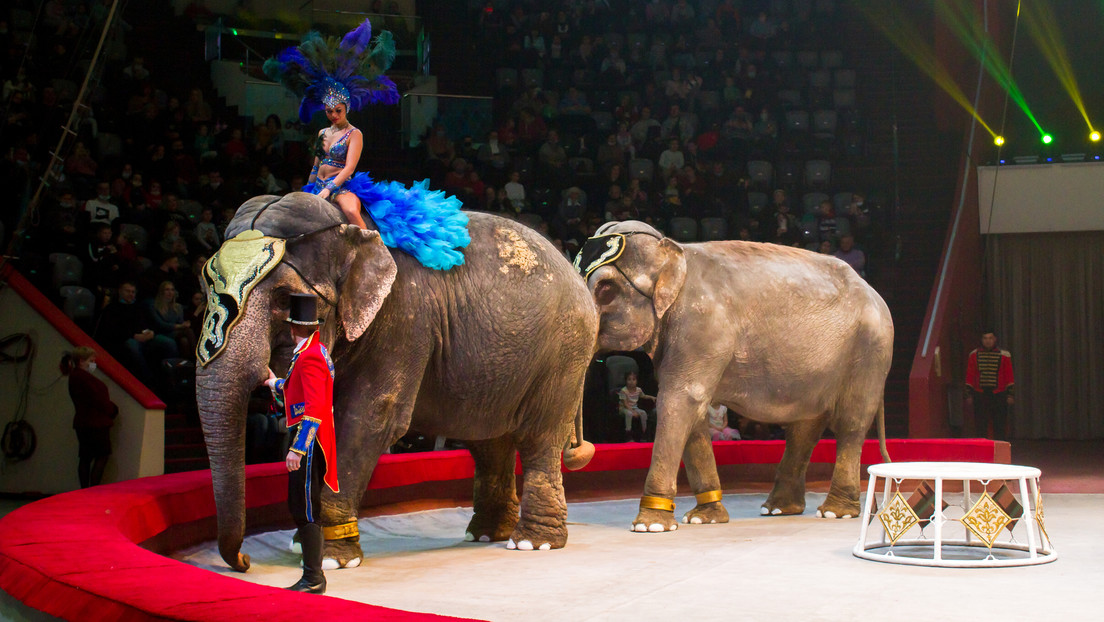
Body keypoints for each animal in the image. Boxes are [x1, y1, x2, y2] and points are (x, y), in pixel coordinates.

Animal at [197, 192, 596, 570]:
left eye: (285, 299)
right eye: (206, 286)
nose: (244, 562)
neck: (351, 230)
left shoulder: (406, 318)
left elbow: (370, 419)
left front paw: (331, 558)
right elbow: (314, 416)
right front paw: (301, 542)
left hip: (565, 353)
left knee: (539, 438)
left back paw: (532, 542)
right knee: (487, 441)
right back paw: (486, 534)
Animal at [582, 220, 892, 532]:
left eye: (605, 290)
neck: (674, 252)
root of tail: (875, 293)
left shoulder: (701, 326)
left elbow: (680, 400)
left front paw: (651, 526)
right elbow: (692, 410)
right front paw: (703, 518)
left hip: (870, 351)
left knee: (850, 424)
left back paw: (834, 512)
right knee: (804, 428)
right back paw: (778, 509)